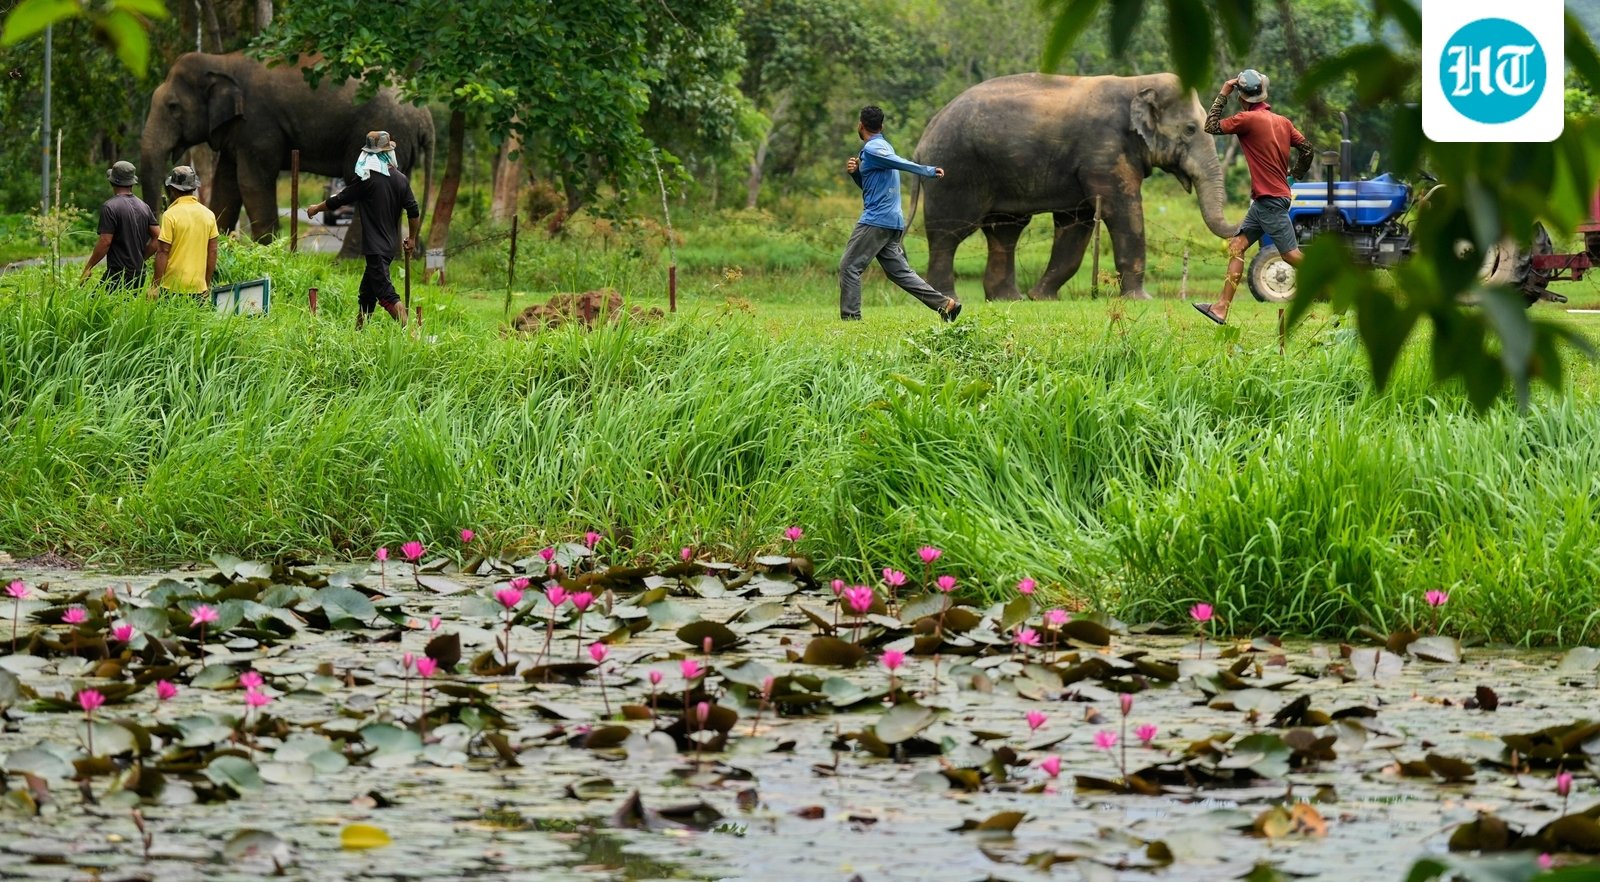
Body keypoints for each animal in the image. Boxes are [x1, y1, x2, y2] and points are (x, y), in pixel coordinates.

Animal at [141, 52, 433, 258]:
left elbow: (251, 182)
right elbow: (227, 184)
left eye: (173, 107)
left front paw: (267, 251)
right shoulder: (237, 131)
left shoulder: (258, 125)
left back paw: (346, 262)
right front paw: (220, 242)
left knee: (361, 183)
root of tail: (424, 113)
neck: (222, 60)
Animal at [910, 72, 1236, 301]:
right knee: (949, 233)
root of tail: (923, 139)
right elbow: (1122, 211)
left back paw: (1009, 299)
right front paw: (1141, 299)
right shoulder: (1104, 151)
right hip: (954, 171)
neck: (1136, 83)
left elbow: (1076, 223)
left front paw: (1041, 298)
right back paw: (949, 296)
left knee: (1005, 231)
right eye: (1190, 129)